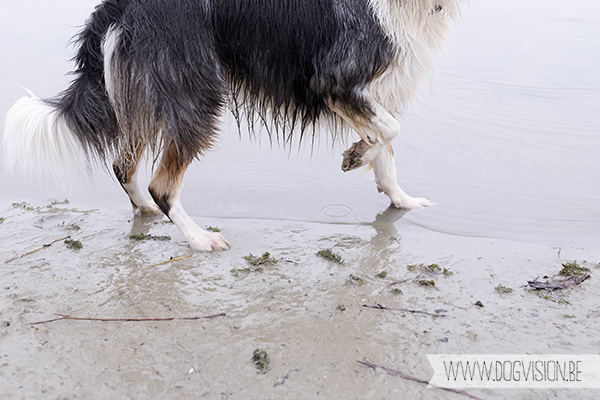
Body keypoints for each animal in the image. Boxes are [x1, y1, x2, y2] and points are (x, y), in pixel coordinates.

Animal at [2, 0, 464, 250]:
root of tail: (119, 5)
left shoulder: (376, 88)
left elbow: (387, 147)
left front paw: (400, 199)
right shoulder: (336, 80)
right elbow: (390, 131)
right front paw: (357, 155)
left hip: (143, 91)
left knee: (123, 166)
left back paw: (147, 210)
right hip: (194, 93)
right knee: (162, 183)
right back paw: (199, 238)